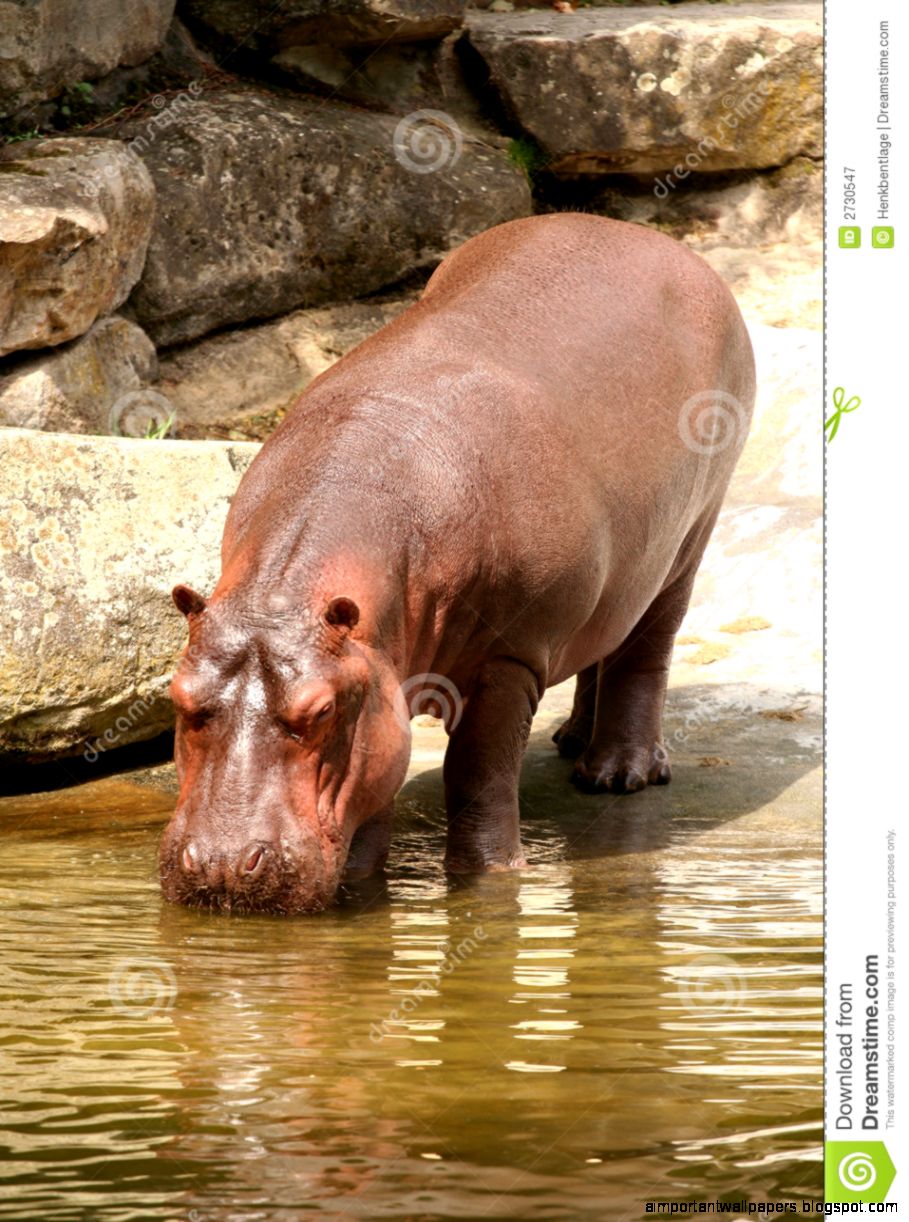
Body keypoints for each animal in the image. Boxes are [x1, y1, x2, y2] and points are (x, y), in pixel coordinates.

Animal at [160, 213, 755, 914]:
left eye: (322, 711)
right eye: (177, 696)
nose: (222, 867)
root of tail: (646, 237)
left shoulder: (512, 656)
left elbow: (478, 769)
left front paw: (488, 876)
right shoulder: (379, 671)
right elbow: (378, 783)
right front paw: (364, 882)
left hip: (692, 532)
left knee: (647, 649)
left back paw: (618, 774)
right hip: (622, 568)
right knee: (606, 635)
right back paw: (573, 741)